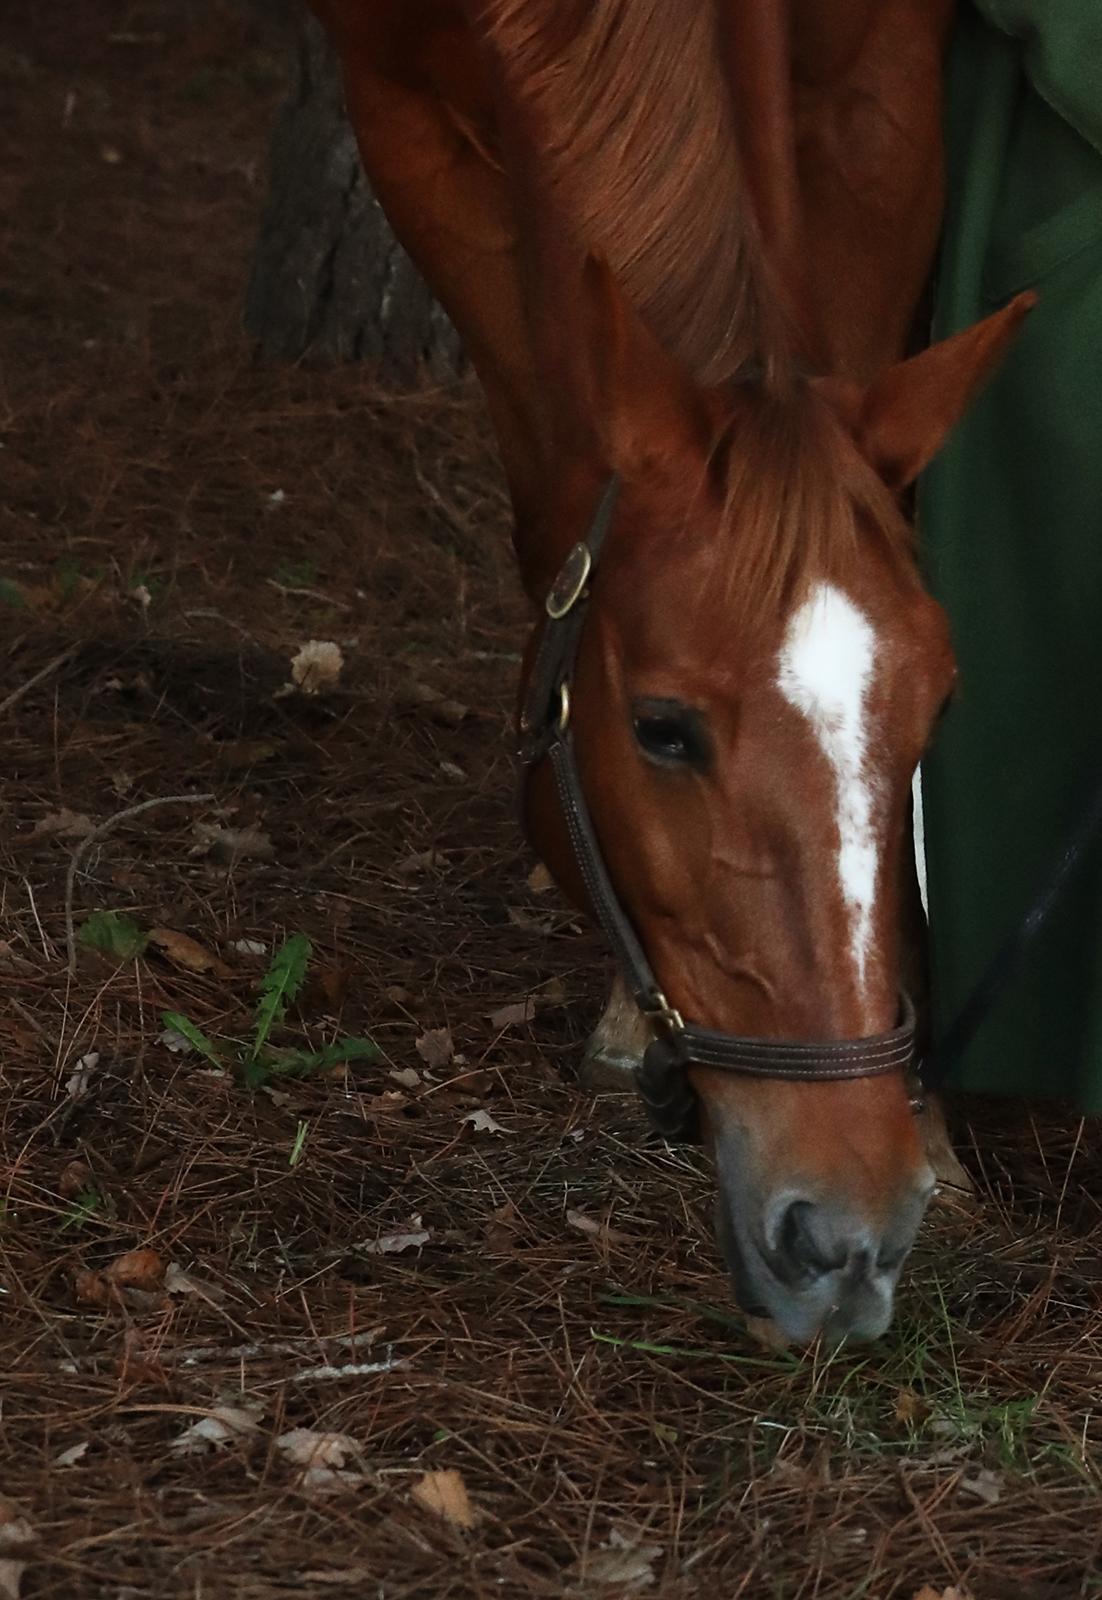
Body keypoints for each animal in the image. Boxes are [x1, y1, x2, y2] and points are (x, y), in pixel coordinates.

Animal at [305, 0, 1030, 1344]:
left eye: (937, 710)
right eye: (658, 729)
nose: (847, 1233)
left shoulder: (882, 83)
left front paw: (930, 1126)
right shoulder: (406, 118)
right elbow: (552, 485)